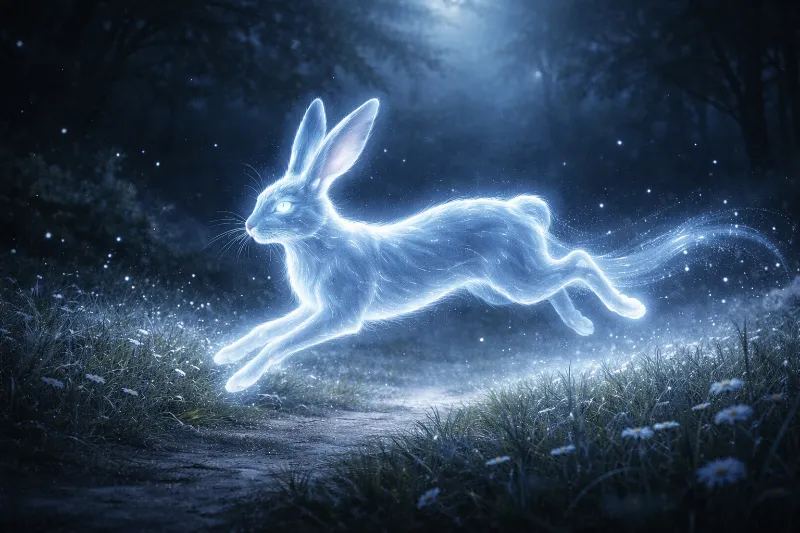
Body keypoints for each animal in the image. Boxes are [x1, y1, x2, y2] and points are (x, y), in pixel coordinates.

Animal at [215, 98, 646, 392]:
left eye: (284, 206)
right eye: (261, 198)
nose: (250, 227)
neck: (318, 240)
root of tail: (522, 212)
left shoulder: (339, 313)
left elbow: (281, 342)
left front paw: (237, 382)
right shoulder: (312, 307)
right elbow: (265, 330)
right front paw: (223, 355)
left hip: (514, 278)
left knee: (579, 261)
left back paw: (630, 309)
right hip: (503, 287)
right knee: (558, 280)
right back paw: (582, 325)